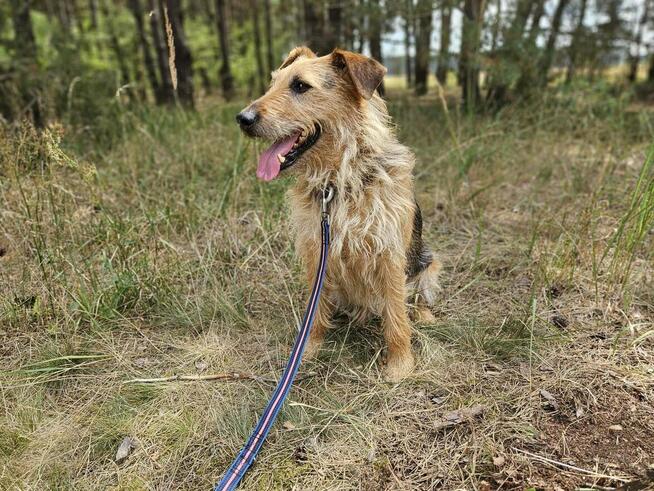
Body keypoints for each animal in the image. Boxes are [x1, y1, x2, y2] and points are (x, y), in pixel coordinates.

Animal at [236, 47, 440, 384]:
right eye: (273, 83)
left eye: (301, 86)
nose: (243, 119)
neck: (339, 180)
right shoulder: (316, 252)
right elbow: (315, 311)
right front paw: (309, 348)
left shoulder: (389, 254)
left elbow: (396, 315)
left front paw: (400, 363)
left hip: (428, 261)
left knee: (417, 296)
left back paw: (424, 315)